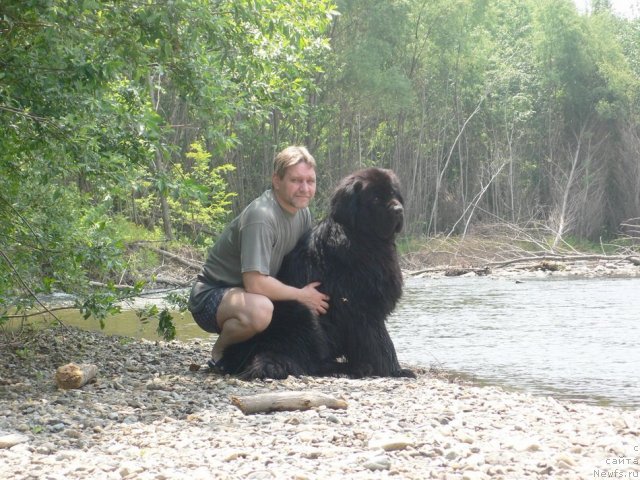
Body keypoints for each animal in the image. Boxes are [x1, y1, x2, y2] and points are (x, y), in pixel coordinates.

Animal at [218, 167, 416, 380]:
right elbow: (382, 344)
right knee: (310, 362)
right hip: (303, 312)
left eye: (394, 194)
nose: (398, 210)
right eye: (376, 198)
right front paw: (395, 370)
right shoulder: (362, 309)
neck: (361, 238)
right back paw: (351, 368)